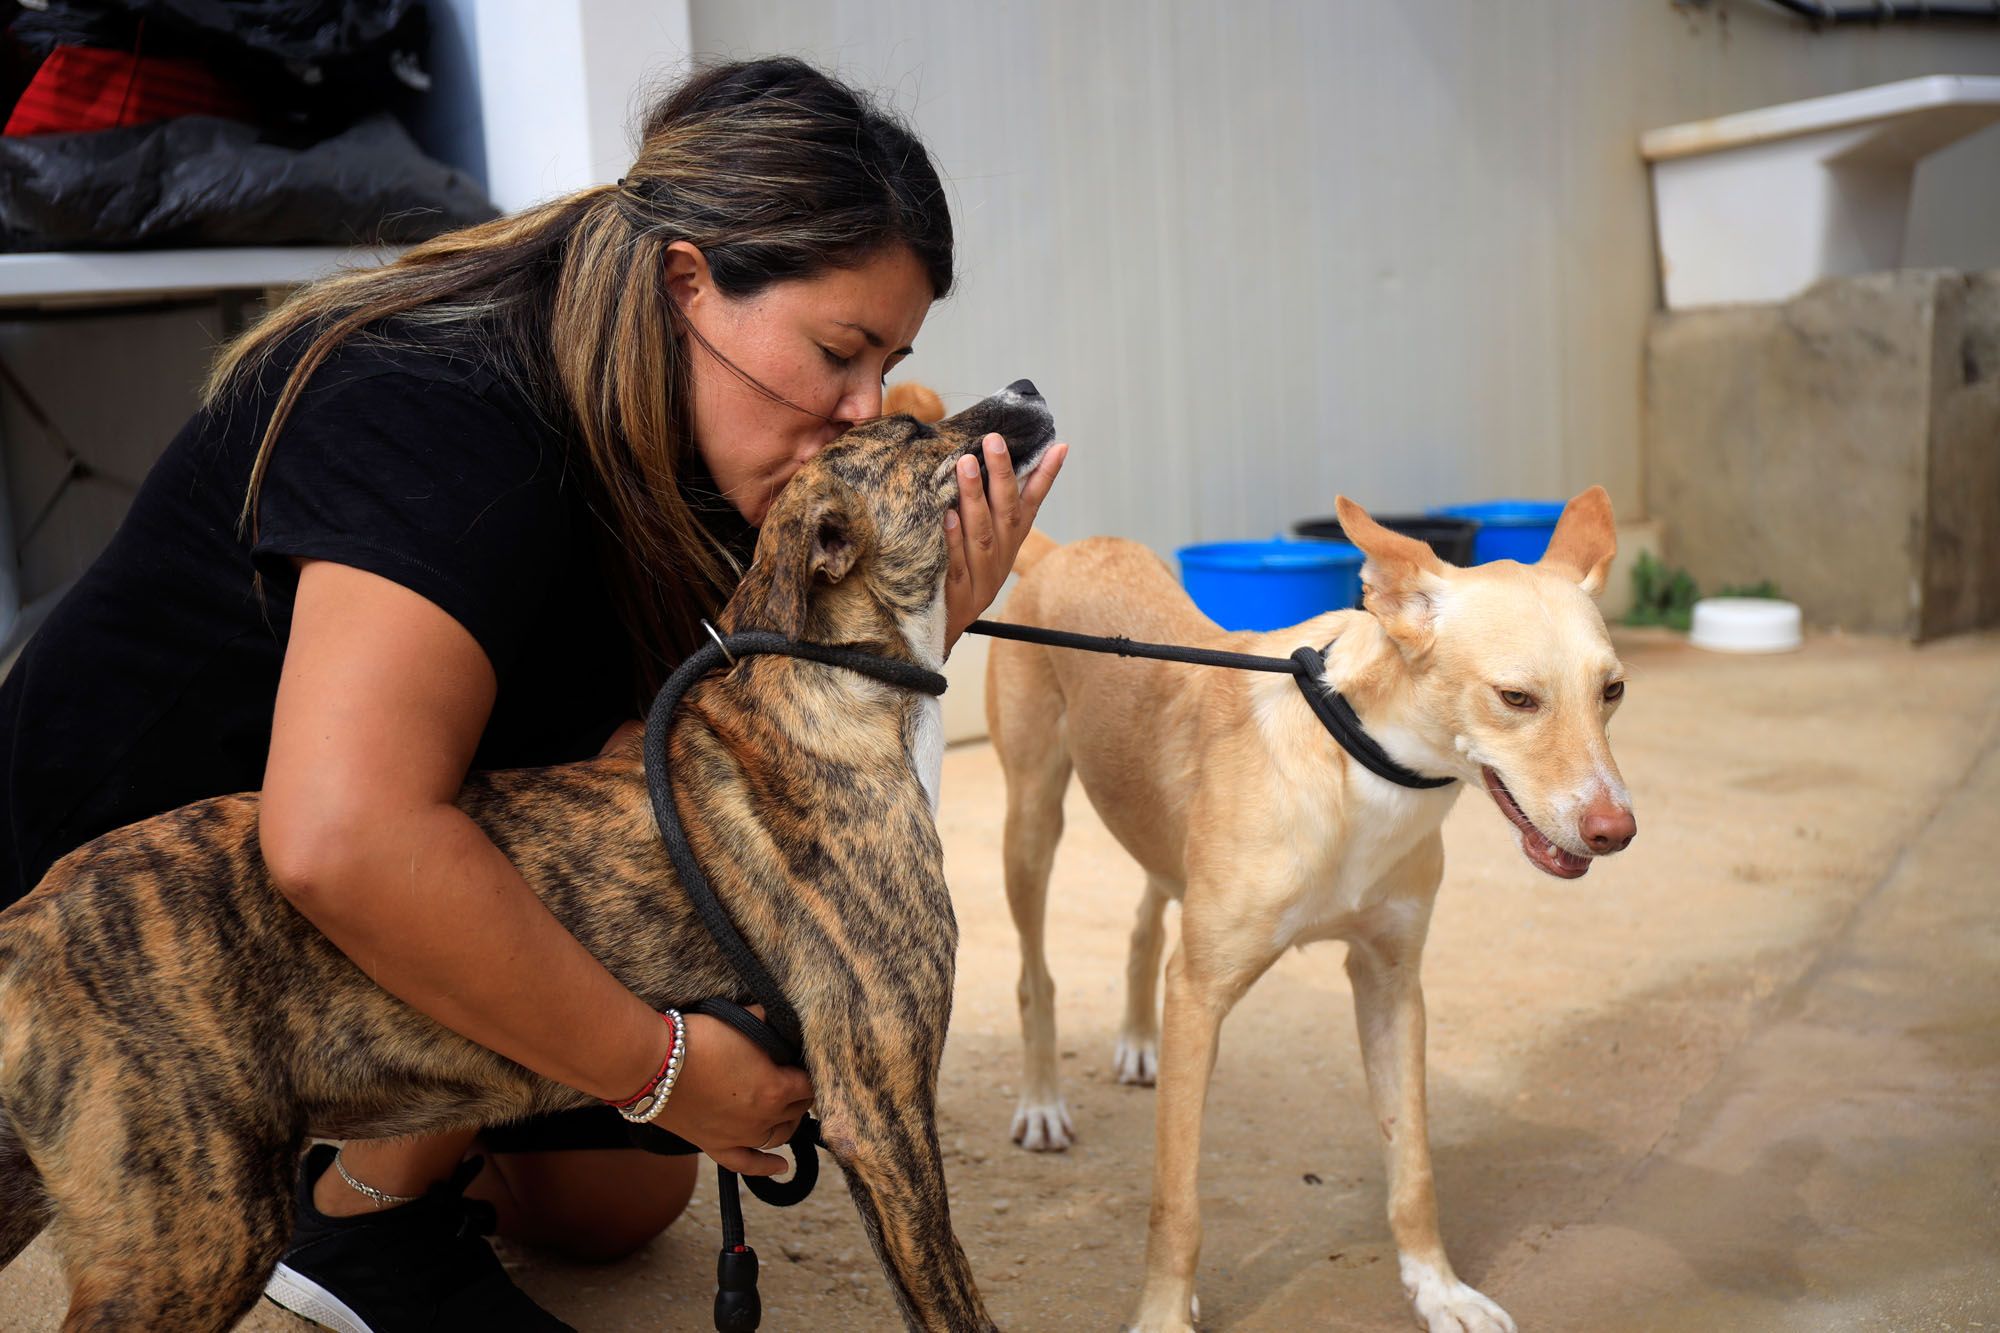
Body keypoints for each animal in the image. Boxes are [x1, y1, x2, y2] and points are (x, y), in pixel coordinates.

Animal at [0, 378, 1064, 1320]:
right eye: (911, 429)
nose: (1028, 383)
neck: (840, 690)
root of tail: (29, 920)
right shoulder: (880, 1112)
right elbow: (954, 1308)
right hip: (195, 1234)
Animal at [988, 492, 1640, 1328]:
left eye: (1611, 690)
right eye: (1516, 697)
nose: (1616, 830)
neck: (1364, 768)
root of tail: (1066, 550)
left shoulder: (1392, 982)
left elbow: (1413, 1166)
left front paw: (1438, 1287)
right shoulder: (1199, 993)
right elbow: (1176, 1199)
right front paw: (1165, 1312)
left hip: (1158, 830)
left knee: (1144, 918)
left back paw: (1136, 1038)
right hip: (1032, 818)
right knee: (1034, 973)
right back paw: (1042, 1100)